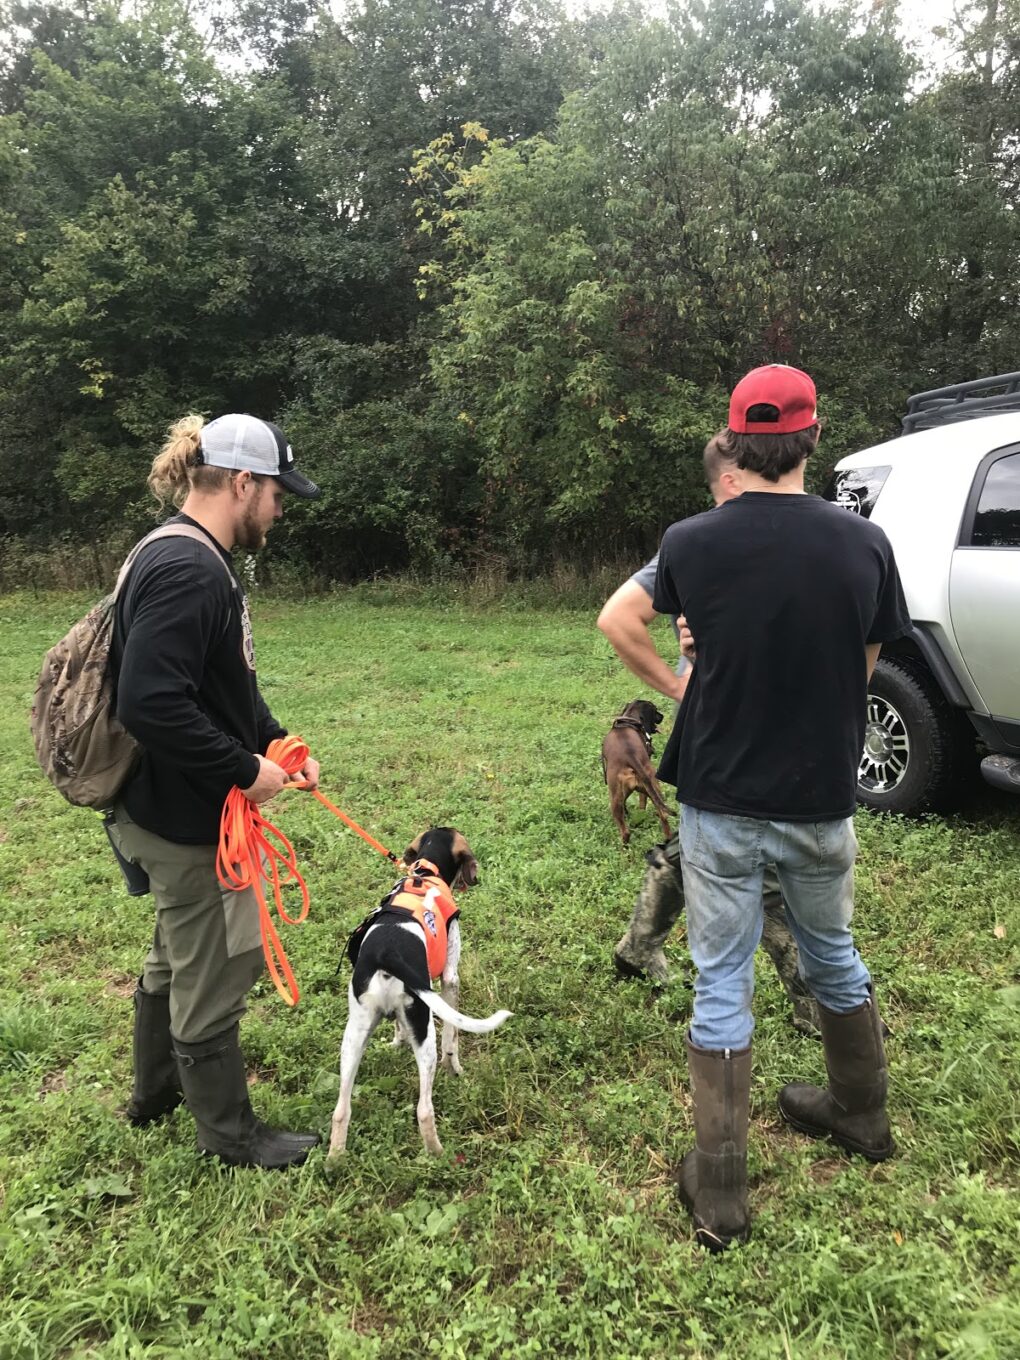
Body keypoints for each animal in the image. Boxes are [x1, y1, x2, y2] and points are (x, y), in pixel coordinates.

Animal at [329, 821, 511, 1153]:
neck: (425, 872)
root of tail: (387, 955)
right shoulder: (450, 980)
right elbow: (452, 1039)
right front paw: (455, 1069)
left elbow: (398, 1028)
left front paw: (397, 1041)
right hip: (424, 1034)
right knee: (424, 1109)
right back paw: (437, 1154)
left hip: (353, 1038)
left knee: (341, 1110)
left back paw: (335, 1157)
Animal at [603, 701, 674, 837]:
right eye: (655, 710)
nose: (662, 716)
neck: (630, 720)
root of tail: (631, 758)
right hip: (651, 790)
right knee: (663, 815)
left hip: (615, 796)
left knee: (626, 831)